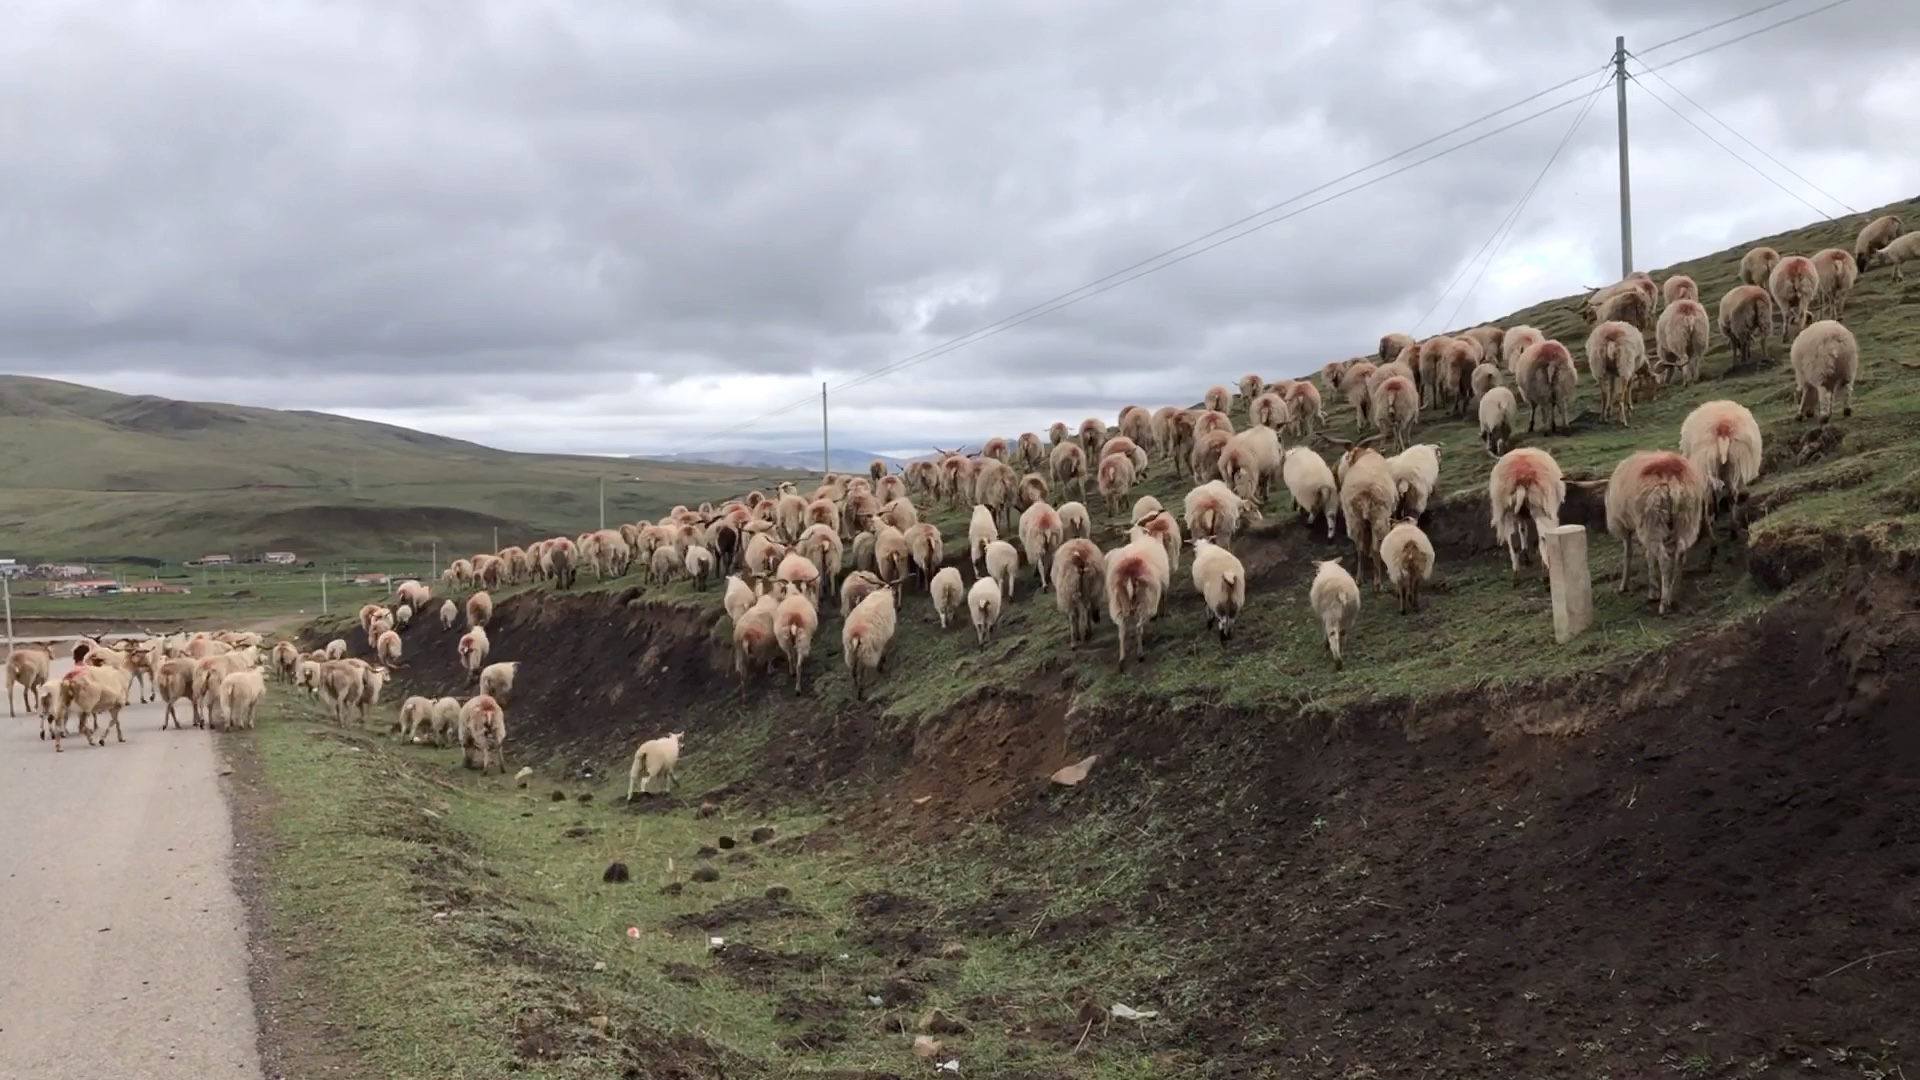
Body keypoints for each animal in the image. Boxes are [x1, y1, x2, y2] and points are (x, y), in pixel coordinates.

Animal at [1482, 445, 1559, 580]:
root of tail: (1520, 480)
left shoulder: (1520, 515)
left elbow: (1522, 530)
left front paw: (1526, 554)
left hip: (1506, 509)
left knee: (1512, 540)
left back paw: (1516, 572)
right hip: (1538, 507)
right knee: (1543, 537)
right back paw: (1546, 568)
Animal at [1605, 445, 1712, 614]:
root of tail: (1672, 480)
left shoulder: (1627, 526)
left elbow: (1629, 553)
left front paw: (1626, 586)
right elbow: (1648, 555)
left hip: (1653, 522)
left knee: (1665, 560)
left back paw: (1664, 603)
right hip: (1686, 518)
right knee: (1680, 554)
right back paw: (1674, 591)